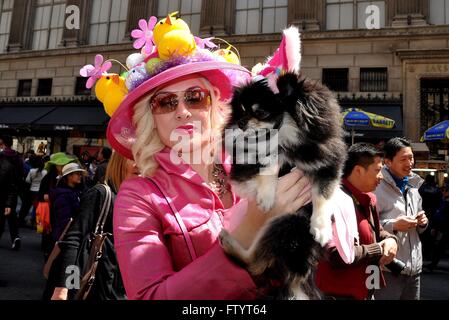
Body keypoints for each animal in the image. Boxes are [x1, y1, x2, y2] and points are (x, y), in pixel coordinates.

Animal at [219, 72, 344, 300]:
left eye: (260, 112)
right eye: (240, 110)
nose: (240, 122)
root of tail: (298, 275)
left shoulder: (328, 167)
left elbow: (322, 197)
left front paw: (321, 227)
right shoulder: (241, 173)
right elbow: (269, 164)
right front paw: (267, 196)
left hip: (286, 224)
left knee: (255, 265)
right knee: (254, 265)